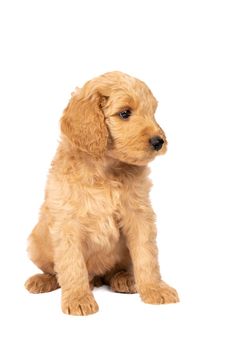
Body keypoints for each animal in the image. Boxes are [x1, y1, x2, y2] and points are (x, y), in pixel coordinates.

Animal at [25, 70, 178, 314]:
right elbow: (72, 264)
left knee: (114, 271)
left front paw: (155, 289)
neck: (105, 169)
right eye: (124, 113)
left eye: (152, 112)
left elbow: (147, 256)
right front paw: (78, 298)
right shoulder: (67, 222)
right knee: (54, 270)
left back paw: (124, 278)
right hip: (36, 241)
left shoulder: (139, 216)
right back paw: (44, 280)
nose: (159, 141)